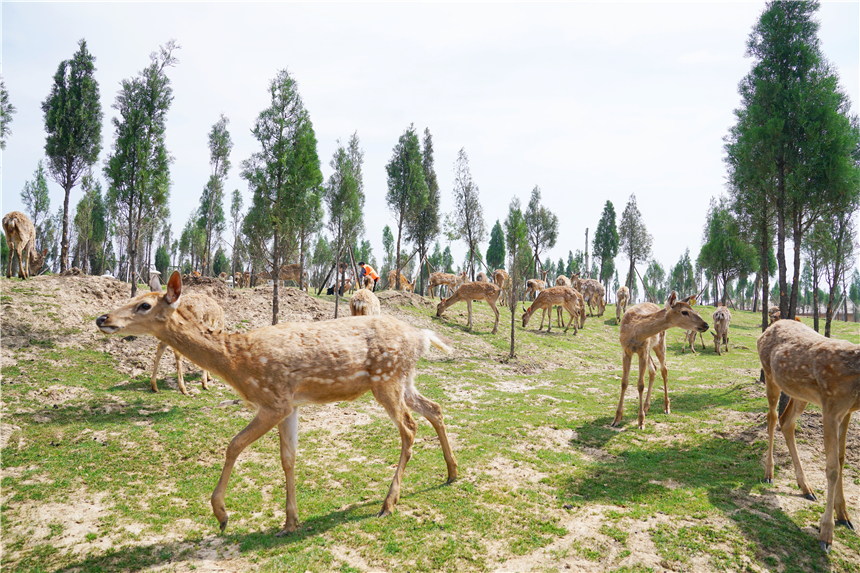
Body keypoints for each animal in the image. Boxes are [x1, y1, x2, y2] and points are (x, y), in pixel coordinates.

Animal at [95, 270, 460, 536]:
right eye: (134, 297)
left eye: (144, 305)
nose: (102, 319)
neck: (237, 363)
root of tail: (421, 337)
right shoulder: (291, 405)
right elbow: (288, 459)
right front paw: (290, 521)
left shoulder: (273, 400)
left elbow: (233, 445)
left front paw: (221, 514)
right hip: (403, 380)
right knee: (435, 408)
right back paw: (452, 473)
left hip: (387, 380)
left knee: (410, 428)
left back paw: (388, 503)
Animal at [612, 292, 712, 426]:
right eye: (684, 312)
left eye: (694, 309)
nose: (706, 325)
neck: (634, 332)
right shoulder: (626, 350)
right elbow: (624, 382)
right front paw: (617, 418)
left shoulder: (643, 350)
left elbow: (640, 384)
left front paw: (641, 421)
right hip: (650, 348)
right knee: (654, 369)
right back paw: (646, 407)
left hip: (660, 343)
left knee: (664, 370)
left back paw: (666, 407)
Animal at [760, 320, 860, 552]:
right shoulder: (831, 407)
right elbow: (832, 468)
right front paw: (826, 534)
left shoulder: (848, 412)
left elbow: (841, 459)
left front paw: (844, 515)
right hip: (769, 374)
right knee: (772, 417)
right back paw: (769, 472)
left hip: (800, 393)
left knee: (786, 422)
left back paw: (806, 487)